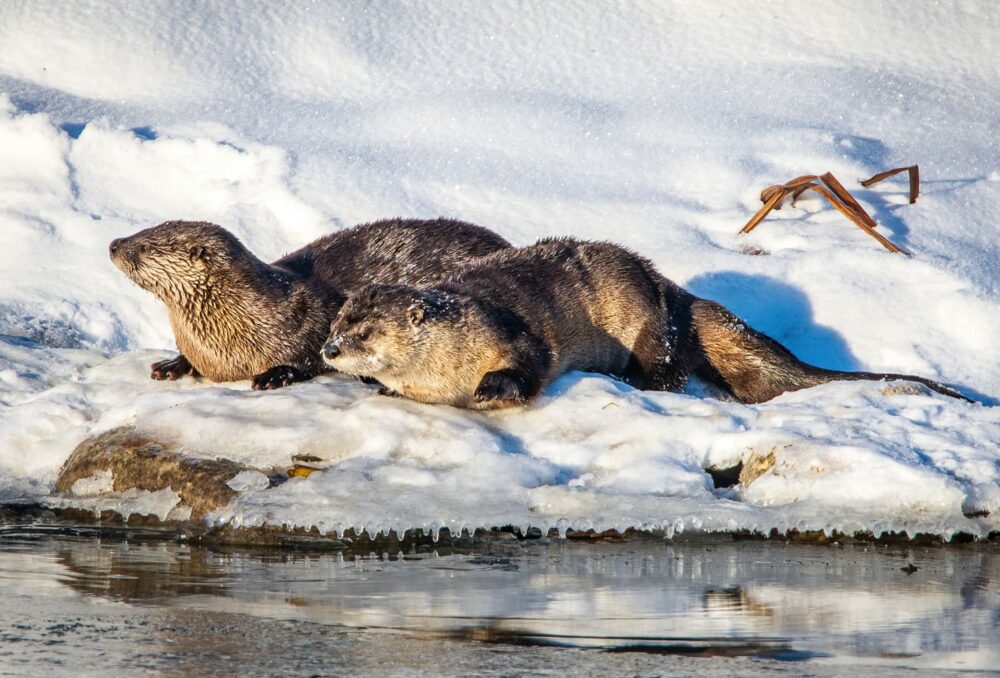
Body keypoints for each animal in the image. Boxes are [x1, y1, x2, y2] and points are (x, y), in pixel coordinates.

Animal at [110, 218, 512, 388]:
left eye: (145, 246)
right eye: (142, 230)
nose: (114, 243)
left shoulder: (311, 315)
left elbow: (311, 353)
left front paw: (275, 375)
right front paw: (171, 364)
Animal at [320, 239, 968, 410]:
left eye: (365, 330)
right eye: (339, 320)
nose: (329, 350)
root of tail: (668, 284)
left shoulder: (509, 332)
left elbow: (531, 360)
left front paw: (494, 390)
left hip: (645, 321)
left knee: (670, 372)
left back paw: (631, 381)